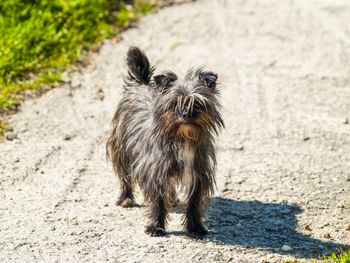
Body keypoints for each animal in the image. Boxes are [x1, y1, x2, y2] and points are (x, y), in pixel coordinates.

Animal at [105, 47, 224, 239]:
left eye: (197, 103)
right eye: (174, 103)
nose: (186, 114)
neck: (183, 138)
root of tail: (142, 84)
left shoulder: (198, 173)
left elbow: (194, 203)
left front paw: (195, 227)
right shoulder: (155, 172)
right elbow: (158, 202)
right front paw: (156, 226)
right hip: (121, 149)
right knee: (125, 177)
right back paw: (126, 198)